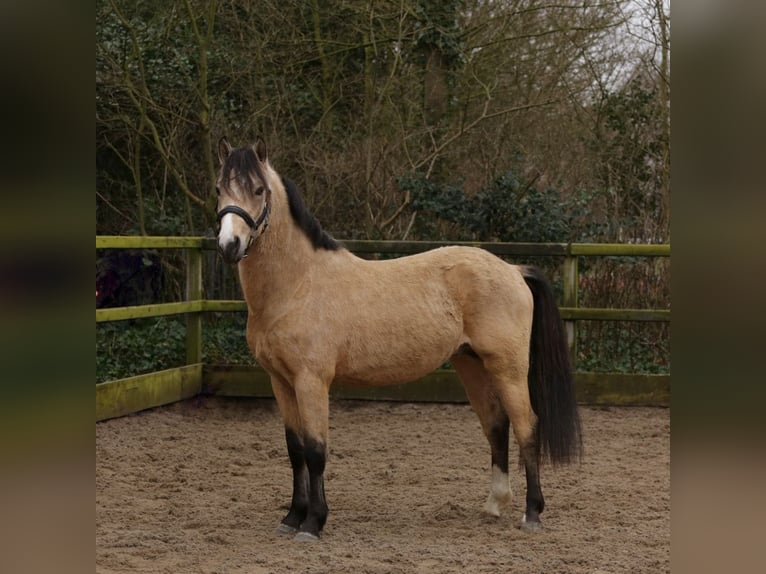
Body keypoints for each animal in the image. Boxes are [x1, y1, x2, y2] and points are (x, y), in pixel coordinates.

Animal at [213, 137, 584, 544]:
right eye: (219, 189)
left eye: (258, 190)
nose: (229, 245)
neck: (298, 284)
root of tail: (514, 270)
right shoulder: (280, 381)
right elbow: (295, 450)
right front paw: (292, 517)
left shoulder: (312, 381)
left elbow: (315, 450)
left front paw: (313, 523)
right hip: (472, 364)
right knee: (496, 425)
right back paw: (493, 504)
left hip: (508, 368)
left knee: (527, 426)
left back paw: (532, 513)